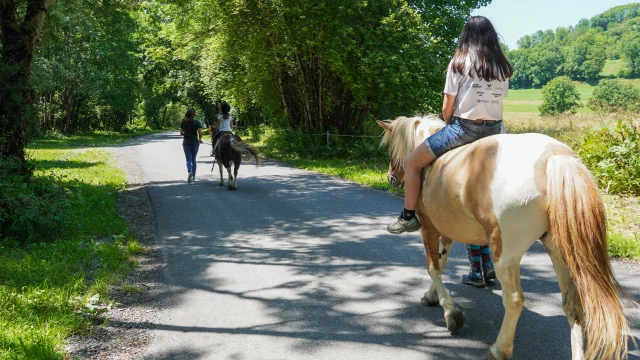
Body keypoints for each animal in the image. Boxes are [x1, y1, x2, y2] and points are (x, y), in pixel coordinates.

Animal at [378, 115, 632, 360]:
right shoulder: (448, 231)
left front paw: (451, 313)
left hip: (506, 254)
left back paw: (499, 350)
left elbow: (433, 267)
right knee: (573, 302)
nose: (391, 177)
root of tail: (552, 157)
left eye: (390, 148)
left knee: (515, 299)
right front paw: (431, 296)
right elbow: (441, 262)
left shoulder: (429, 228)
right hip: (559, 249)